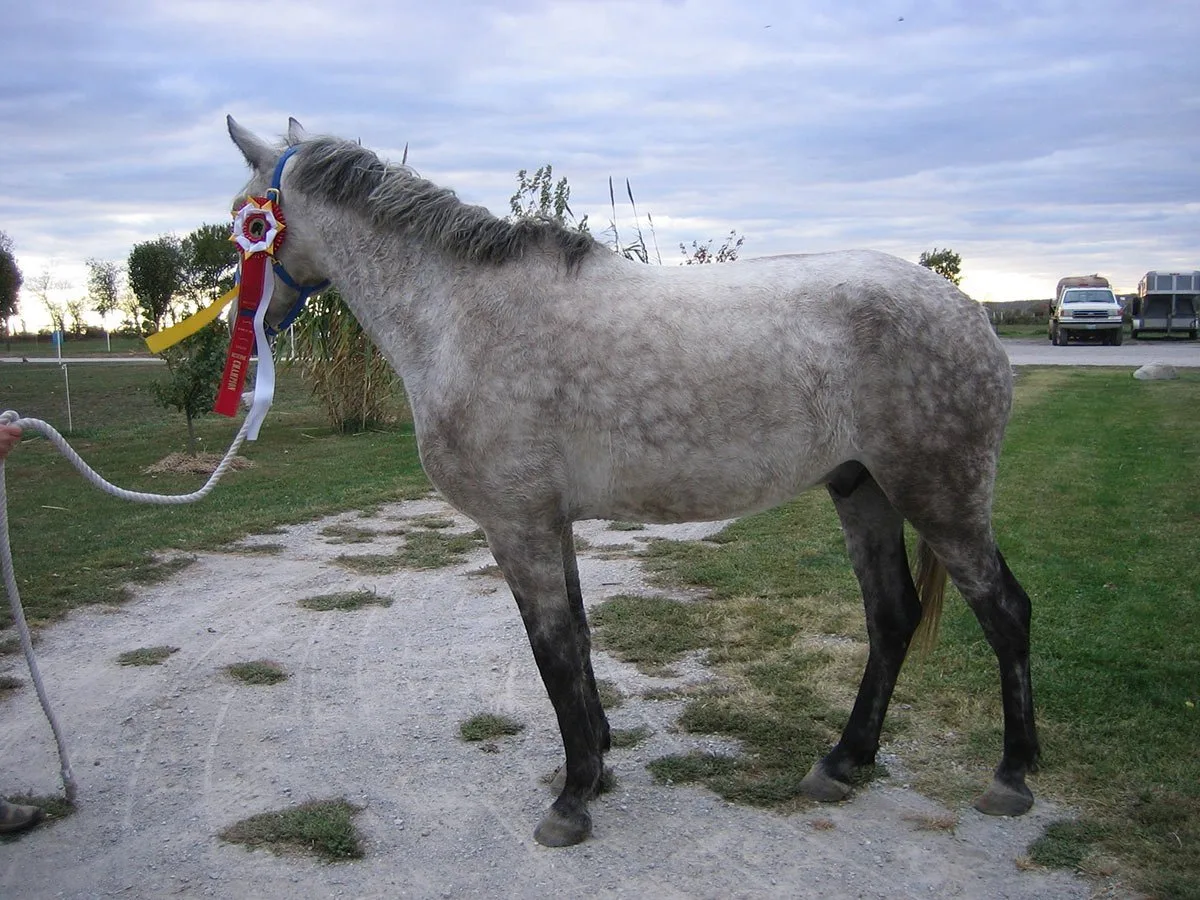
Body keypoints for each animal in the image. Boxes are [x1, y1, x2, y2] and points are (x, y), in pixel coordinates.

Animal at [226, 118, 1041, 844]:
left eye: (246, 220)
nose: (252, 317)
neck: (459, 314)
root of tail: (973, 315)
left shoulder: (517, 525)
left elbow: (552, 650)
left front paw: (572, 799)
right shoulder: (551, 522)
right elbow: (580, 640)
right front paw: (600, 765)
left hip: (941, 496)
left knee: (1004, 612)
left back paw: (1011, 777)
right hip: (862, 490)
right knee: (892, 617)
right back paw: (842, 763)